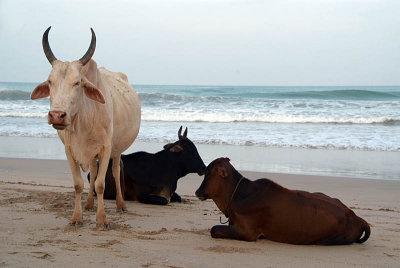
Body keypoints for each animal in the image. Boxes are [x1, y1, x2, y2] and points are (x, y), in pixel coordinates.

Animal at [29, 27, 140, 228]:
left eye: (77, 82)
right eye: (50, 81)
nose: (57, 115)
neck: (85, 120)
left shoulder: (105, 148)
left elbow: (100, 184)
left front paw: (102, 219)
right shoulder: (70, 149)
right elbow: (78, 184)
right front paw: (77, 217)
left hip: (117, 150)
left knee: (116, 170)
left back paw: (120, 204)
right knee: (94, 171)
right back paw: (88, 203)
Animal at [195, 157, 370, 245]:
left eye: (208, 173)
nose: (197, 192)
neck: (238, 194)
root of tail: (357, 218)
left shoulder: (247, 232)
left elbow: (214, 229)